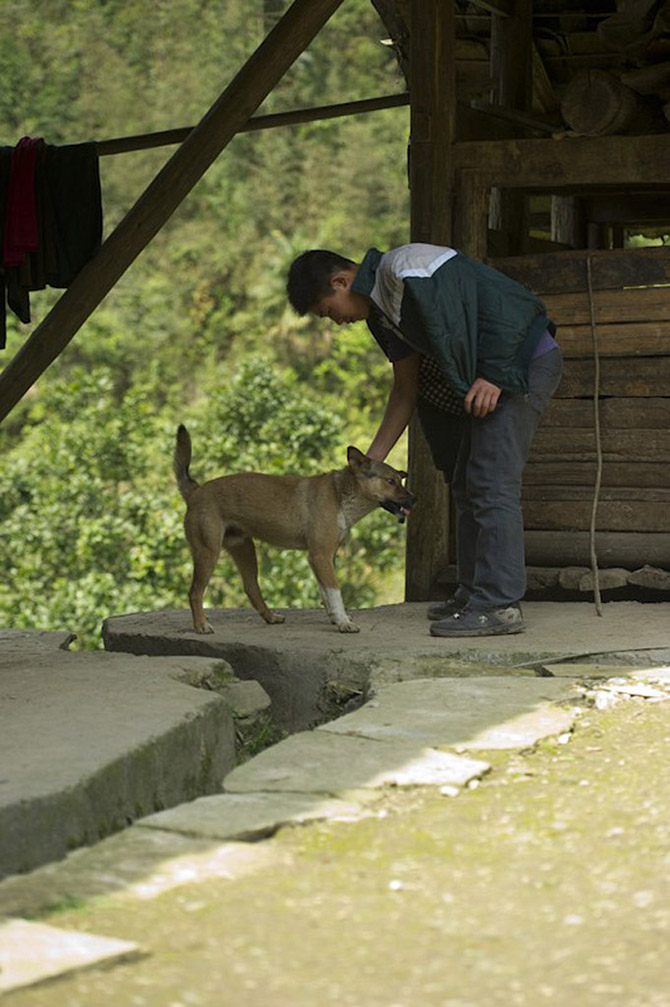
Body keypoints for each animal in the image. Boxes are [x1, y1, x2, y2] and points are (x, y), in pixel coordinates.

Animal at [173, 422, 413, 628]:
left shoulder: (323, 557)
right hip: (208, 552)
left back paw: (270, 617)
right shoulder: (320, 555)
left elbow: (325, 592)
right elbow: (335, 591)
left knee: (251, 589)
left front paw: (335, 617)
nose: (415, 499)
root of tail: (195, 491)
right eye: (391, 481)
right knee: (194, 592)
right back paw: (201, 625)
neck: (340, 495)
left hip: (244, 549)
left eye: (401, 480)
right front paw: (343, 622)